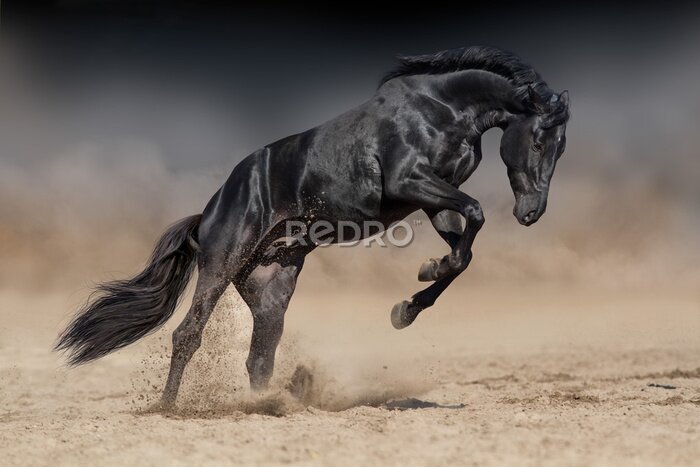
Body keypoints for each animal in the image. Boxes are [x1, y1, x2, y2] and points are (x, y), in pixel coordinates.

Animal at [56, 46, 570, 408]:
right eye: (540, 141)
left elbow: (463, 252)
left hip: (272, 285)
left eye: (561, 147)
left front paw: (409, 302)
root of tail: (209, 211)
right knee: (188, 335)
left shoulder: (432, 199)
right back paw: (167, 408)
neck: (441, 109)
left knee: (260, 356)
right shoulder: (412, 182)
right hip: (221, 266)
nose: (531, 212)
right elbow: (476, 215)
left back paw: (266, 405)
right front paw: (418, 288)